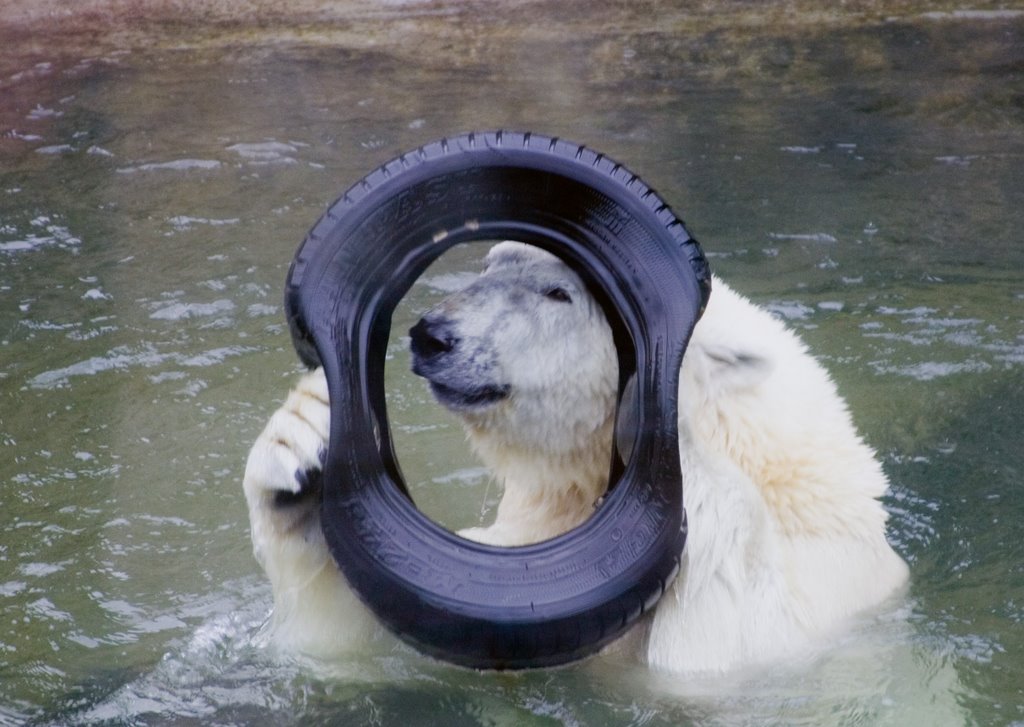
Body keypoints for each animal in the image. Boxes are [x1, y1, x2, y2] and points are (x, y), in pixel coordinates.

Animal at [243, 241, 909, 675]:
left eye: (558, 292)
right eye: (489, 265)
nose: (434, 336)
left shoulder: (821, 601)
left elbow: (708, 656)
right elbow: (347, 655)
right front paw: (300, 444)